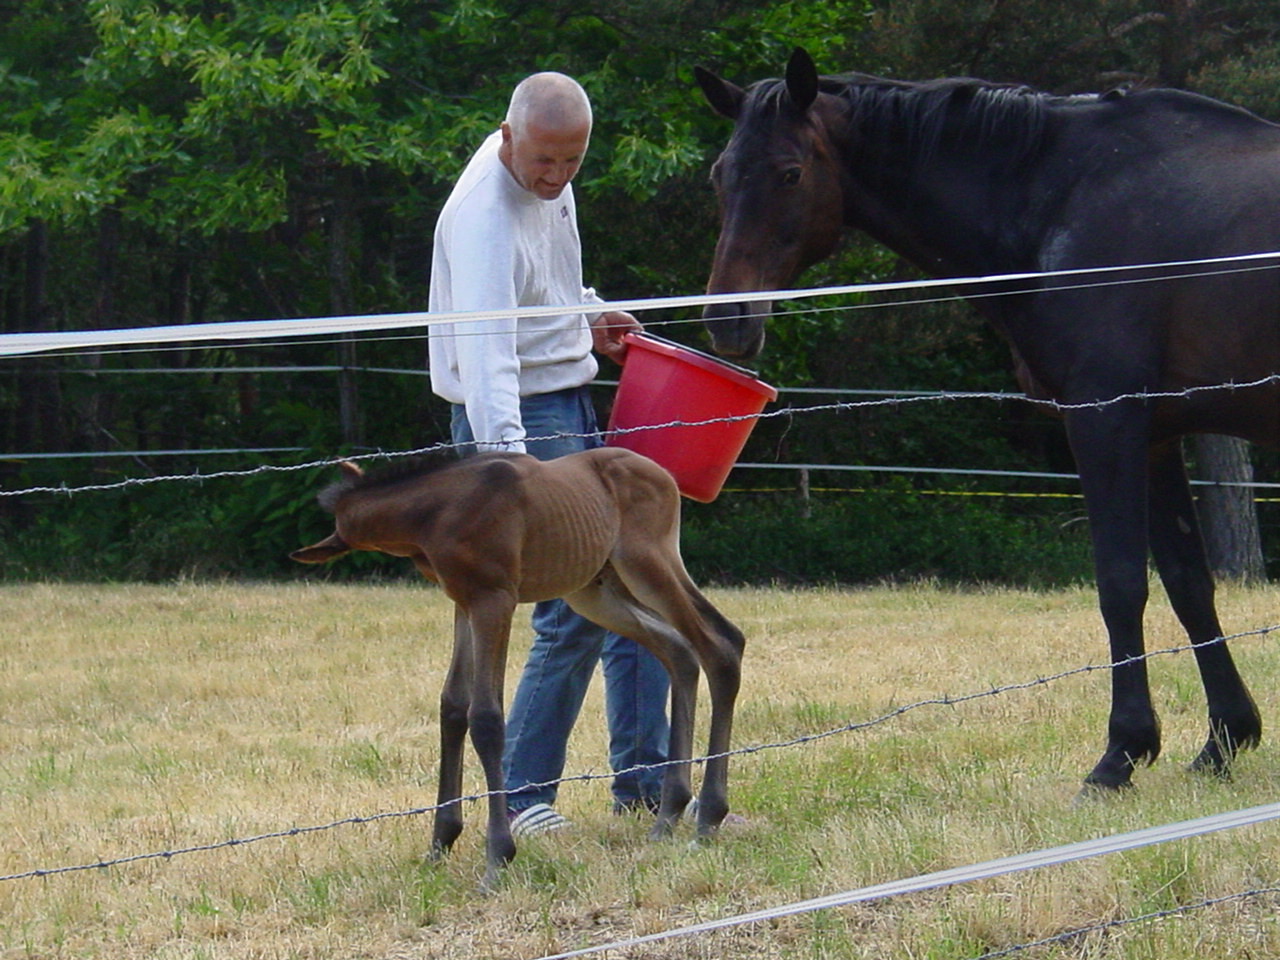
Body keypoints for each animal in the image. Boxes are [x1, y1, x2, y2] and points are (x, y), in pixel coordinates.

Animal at [293, 448, 747, 890]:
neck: (435, 510)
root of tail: (663, 474)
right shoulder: (464, 602)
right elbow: (452, 707)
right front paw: (440, 844)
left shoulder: (494, 599)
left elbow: (486, 717)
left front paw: (497, 858)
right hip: (598, 591)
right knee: (680, 651)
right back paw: (668, 816)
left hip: (647, 562)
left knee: (721, 644)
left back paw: (709, 816)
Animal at [701, 48, 1280, 793]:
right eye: (720, 174)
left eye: (789, 172)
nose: (728, 320)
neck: (1063, 198)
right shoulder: (1156, 435)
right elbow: (1188, 584)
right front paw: (1224, 740)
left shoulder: (1105, 420)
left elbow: (1121, 583)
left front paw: (1121, 753)